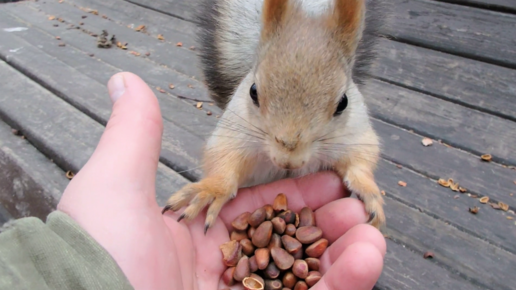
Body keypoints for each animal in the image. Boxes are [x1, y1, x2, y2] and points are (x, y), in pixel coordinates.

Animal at [163, 0, 390, 232]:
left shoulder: (356, 134)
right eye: (253, 91)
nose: (288, 159)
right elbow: (223, 157)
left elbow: (361, 160)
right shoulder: (234, 129)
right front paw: (212, 189)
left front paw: (369, 193)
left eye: (343, 102)